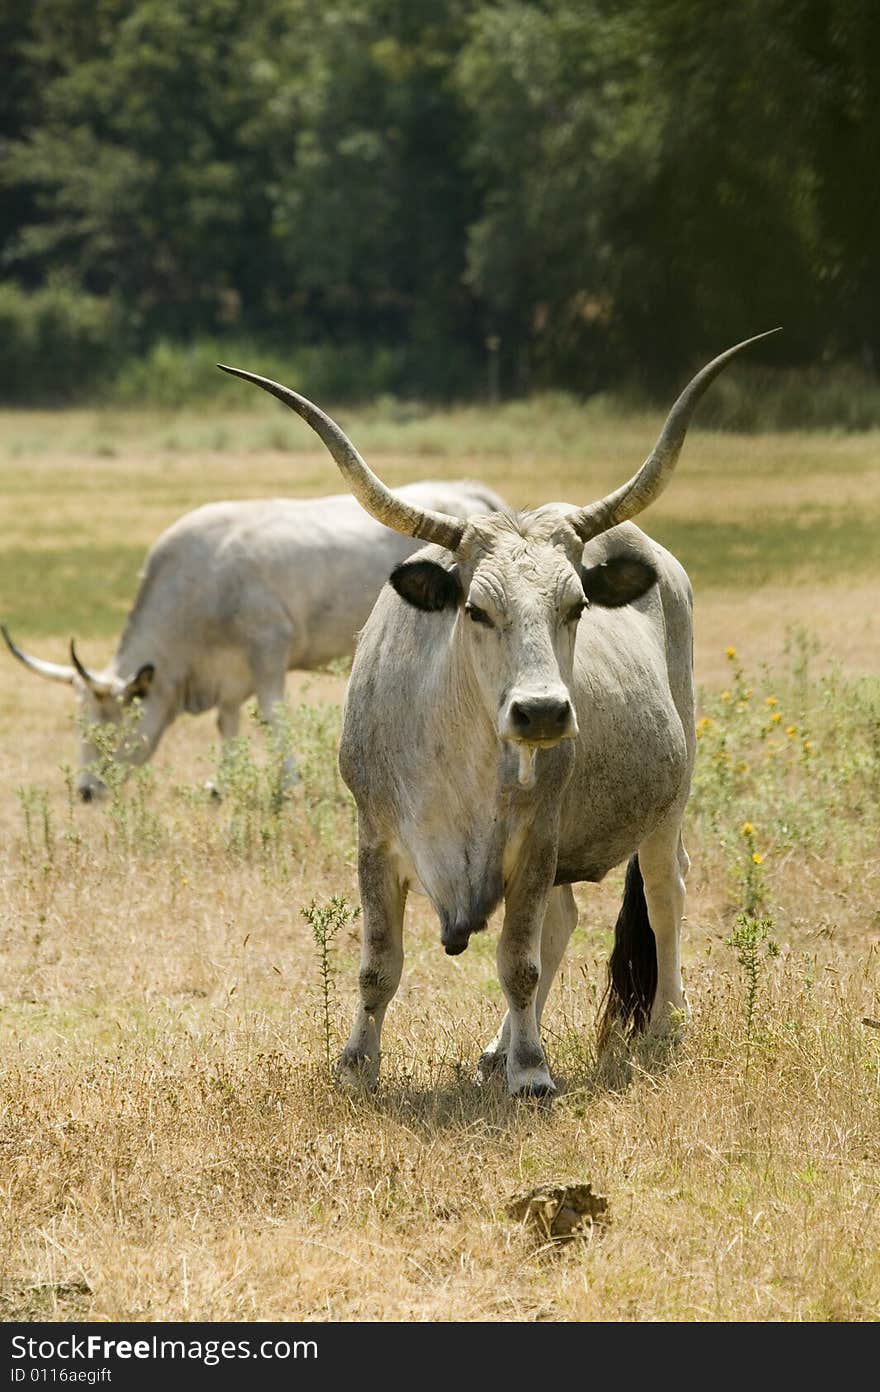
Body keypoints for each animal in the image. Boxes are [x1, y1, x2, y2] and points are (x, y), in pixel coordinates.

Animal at [1, 481, 501, 801]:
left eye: (106, 727)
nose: (86, 791)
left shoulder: (268, 649)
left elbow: (272, 714)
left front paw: (289, 782)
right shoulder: (229, 675)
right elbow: (228, 724)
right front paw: (220, 784)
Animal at [221, 331, 774, 1091]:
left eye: (577, 606)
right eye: (477, 609)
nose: (541, 713)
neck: (460, 764)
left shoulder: (537, 840)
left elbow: (518, 960)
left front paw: (533, 1072)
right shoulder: (374, 837)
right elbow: (378, 965)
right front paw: (357, 1065)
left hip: (668, 802)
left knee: (666, 896)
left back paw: (663, 1028)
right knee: (566, 918)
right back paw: (496, 1047)